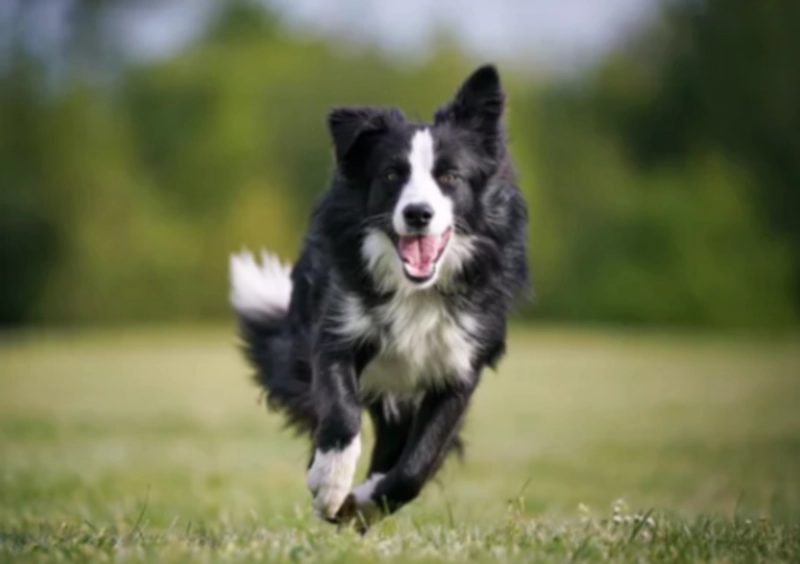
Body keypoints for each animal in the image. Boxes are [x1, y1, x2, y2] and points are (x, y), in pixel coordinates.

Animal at [231, 65, 528, 528]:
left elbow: (416, 464)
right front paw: (330, 484)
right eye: (392, 174)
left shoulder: (460, 368)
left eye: (450, 176)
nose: (418, 214)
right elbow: (340, 414)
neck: (416, 291)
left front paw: (367, 501)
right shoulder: (337, 332)